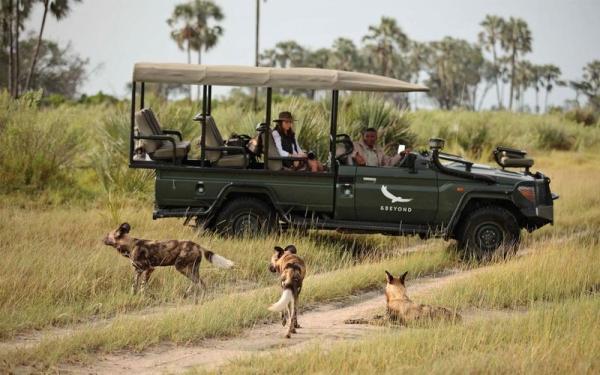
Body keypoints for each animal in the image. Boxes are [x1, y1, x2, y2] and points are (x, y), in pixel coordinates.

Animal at [103, 223, 234, 300]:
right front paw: (133, 297)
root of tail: (197, 245)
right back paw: (190, 294)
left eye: (107, 235)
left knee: (199, 282)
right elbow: (134, 285)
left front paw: (142, 297)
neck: (130, 245)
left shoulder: (149, 269)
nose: (101, 239)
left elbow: (142, 286)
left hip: (181, 267)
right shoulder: (138, 271)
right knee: (199, 282)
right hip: (191, 268)